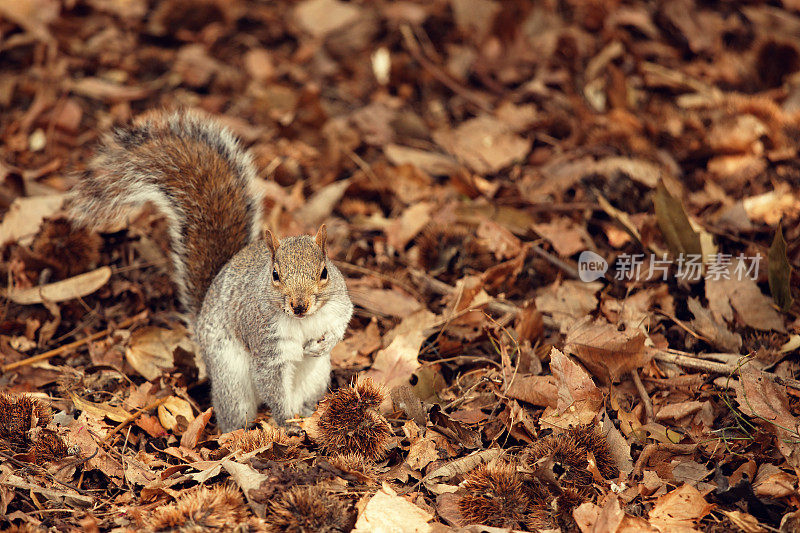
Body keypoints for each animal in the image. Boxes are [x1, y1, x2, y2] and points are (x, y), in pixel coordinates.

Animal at [67, 110, 354, 430]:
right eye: (275, 275)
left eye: (324, 272)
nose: (299, 305)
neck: (305, 321)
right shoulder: (266, 342)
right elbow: (273, 386)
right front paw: (284, 421)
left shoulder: (338, 306)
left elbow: (342, 324)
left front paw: (324, 344)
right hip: (230, 376)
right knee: (234, 411)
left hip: (315, 377)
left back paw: (308, 414)